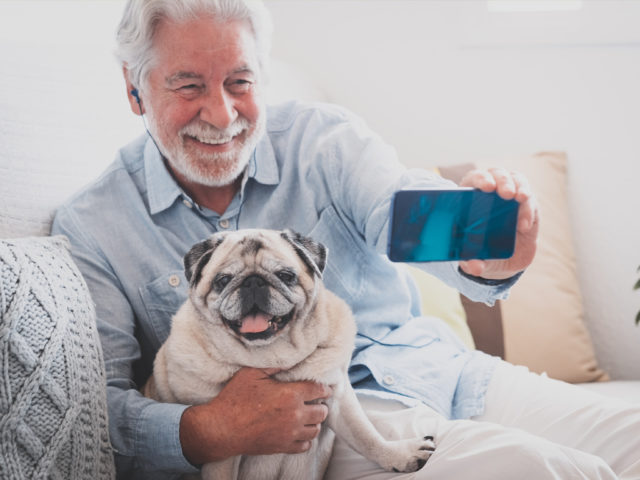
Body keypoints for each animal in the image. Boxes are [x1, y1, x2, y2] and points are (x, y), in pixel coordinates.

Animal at [144, 230, 436, 480]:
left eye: (285, 276)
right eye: (223, 280)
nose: (253, 281)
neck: (270, 355)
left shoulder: (337, 398)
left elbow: (366, 435)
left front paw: (398, 454)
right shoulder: (223, 449)